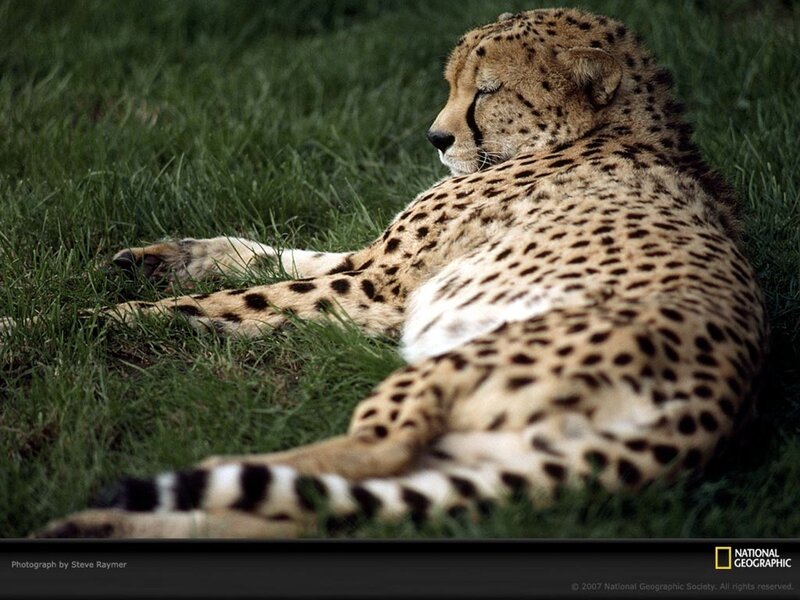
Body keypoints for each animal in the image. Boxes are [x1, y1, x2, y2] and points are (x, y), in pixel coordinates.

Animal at [33, 8, 767, 538]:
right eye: (453, 84)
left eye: (487, 91)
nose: (436, 138)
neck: (617, 132)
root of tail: (713, 406)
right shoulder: (368, 269)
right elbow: (265, 256)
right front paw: (163, 260)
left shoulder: (373, 287)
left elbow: (233, 300)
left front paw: (58, 324)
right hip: (485, 452)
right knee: (320, 511)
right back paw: (94, 524)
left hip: (466, 360)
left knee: (367, 458)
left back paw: (188, 475)